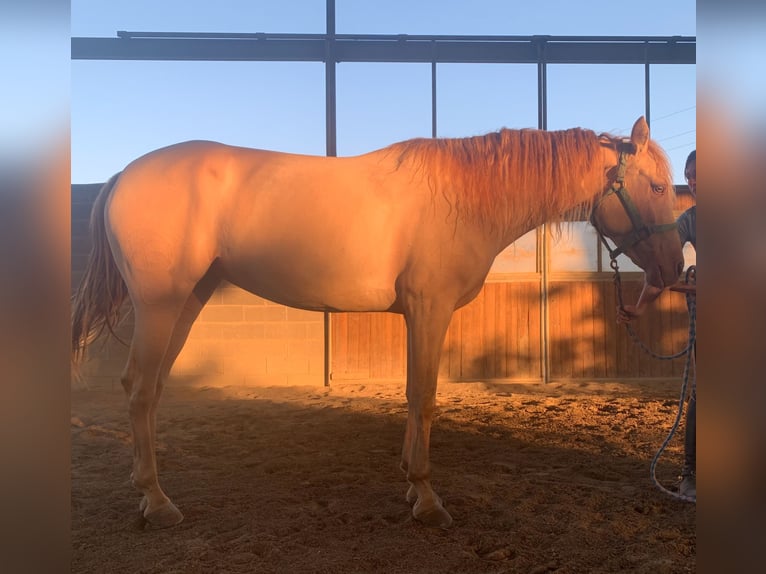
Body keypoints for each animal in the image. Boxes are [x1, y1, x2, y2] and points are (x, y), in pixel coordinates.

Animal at [72, 116, 683, 530]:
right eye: (656, 187)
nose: (673, 271)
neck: (464, 197)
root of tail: (124, 174)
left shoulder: (417, 314)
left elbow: (414, 395)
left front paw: (412, 487)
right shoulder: (430, 308)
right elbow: (426, 397)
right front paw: (428, 500)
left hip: (188, 301)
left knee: (149, 390)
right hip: (161, 304)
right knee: (140, 389)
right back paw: (157, 502)